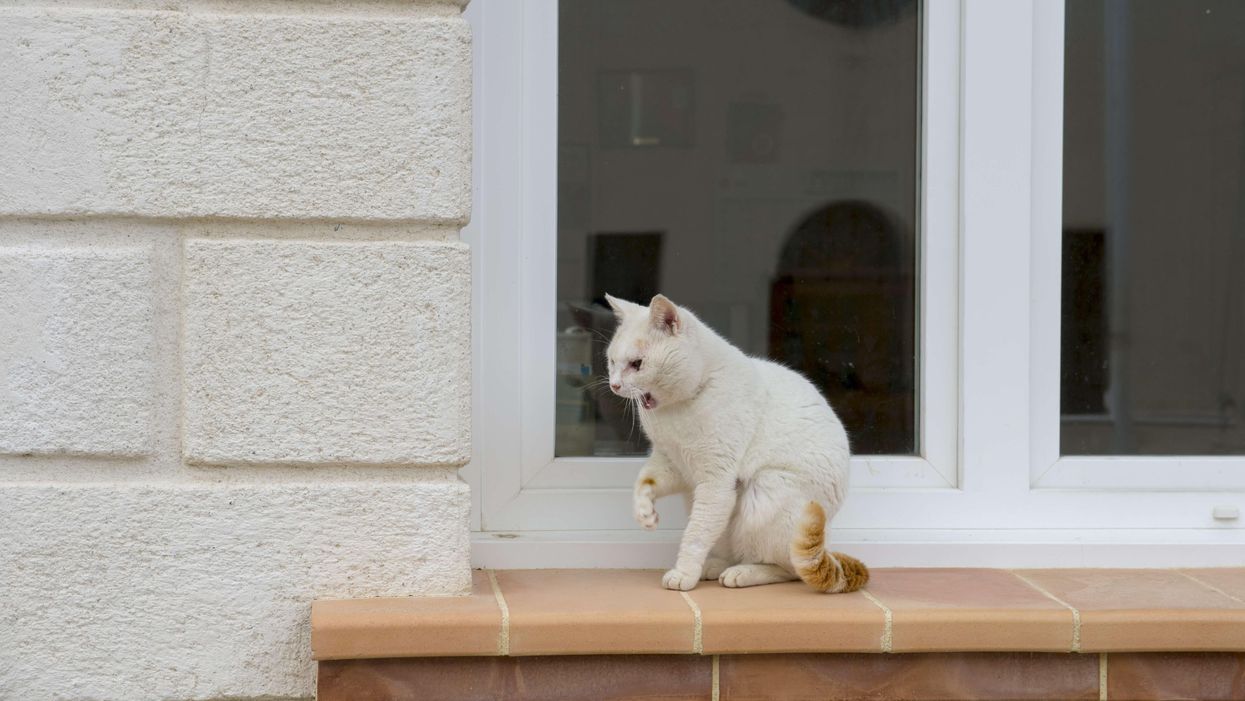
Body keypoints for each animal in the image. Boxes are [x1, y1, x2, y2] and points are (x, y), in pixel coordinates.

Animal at [602, 293, 866, 595]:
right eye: (612, 361)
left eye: (637, 364)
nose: (614, 385)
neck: (676, 410)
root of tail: (826, 544)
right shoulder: (673, 463)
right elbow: (644, 481)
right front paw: (644, 513)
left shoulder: (716, 483)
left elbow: (695, 535)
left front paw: (683, 574)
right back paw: (715, 566)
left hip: (764, 495)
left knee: (791, 568)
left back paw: (741, 573)